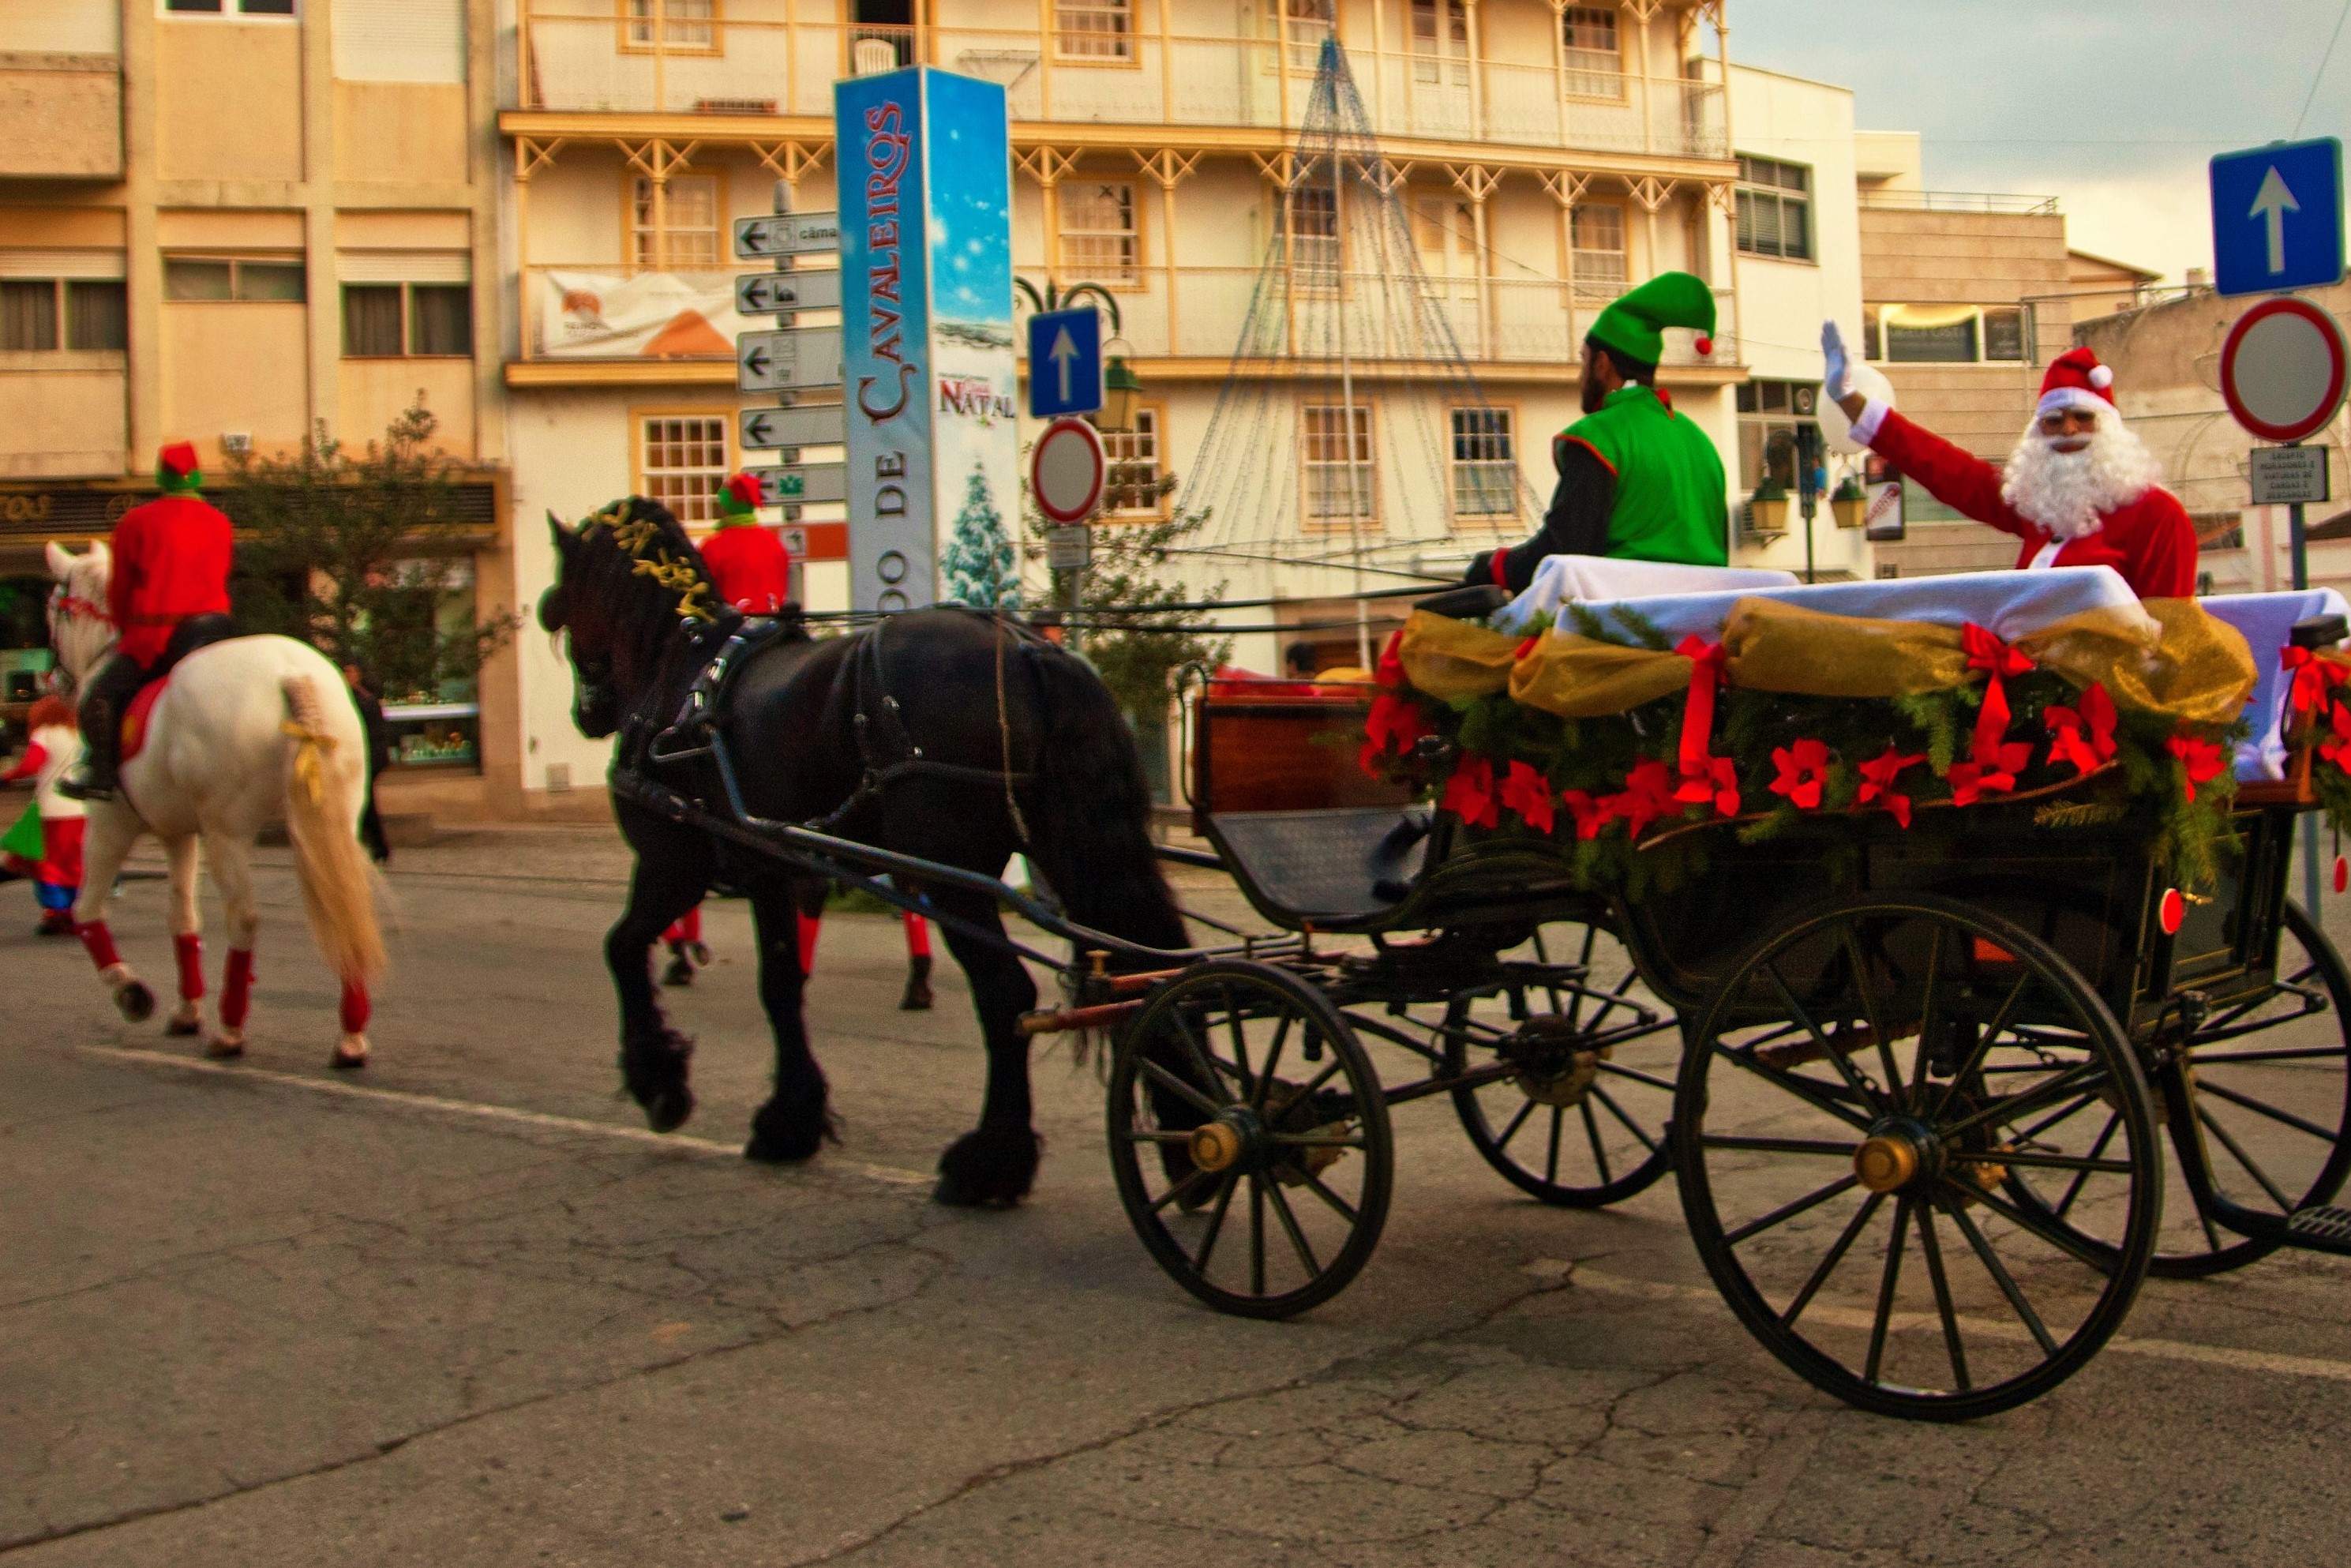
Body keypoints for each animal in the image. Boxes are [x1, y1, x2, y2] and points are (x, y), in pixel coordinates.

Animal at [44, 540, 385, 1067]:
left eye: (54, 607)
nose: (53, 679)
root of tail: (291, 674)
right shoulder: (177, 832)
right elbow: (183, 918)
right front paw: (186, 1010)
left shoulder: (109, 824)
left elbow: (87, 910)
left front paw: (131, 992)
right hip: (328, 820)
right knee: (344, 901)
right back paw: (349, 1036)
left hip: (229, 832)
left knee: (243, 917)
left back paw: (229, 1030)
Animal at [538, 496, 1184, 1213]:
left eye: (558, 604)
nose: (588, 716)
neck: (679, 670)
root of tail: (1026, 650)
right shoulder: (773, 873)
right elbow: (780, 987)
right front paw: (789, 1120)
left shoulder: (671, 866)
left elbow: (622, 948)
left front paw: (659, 1083)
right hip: (1063, 849)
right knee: (1149, 970)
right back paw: (1187, 1149)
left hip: (955, 877)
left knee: (1006, 995)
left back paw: (989, 1162)